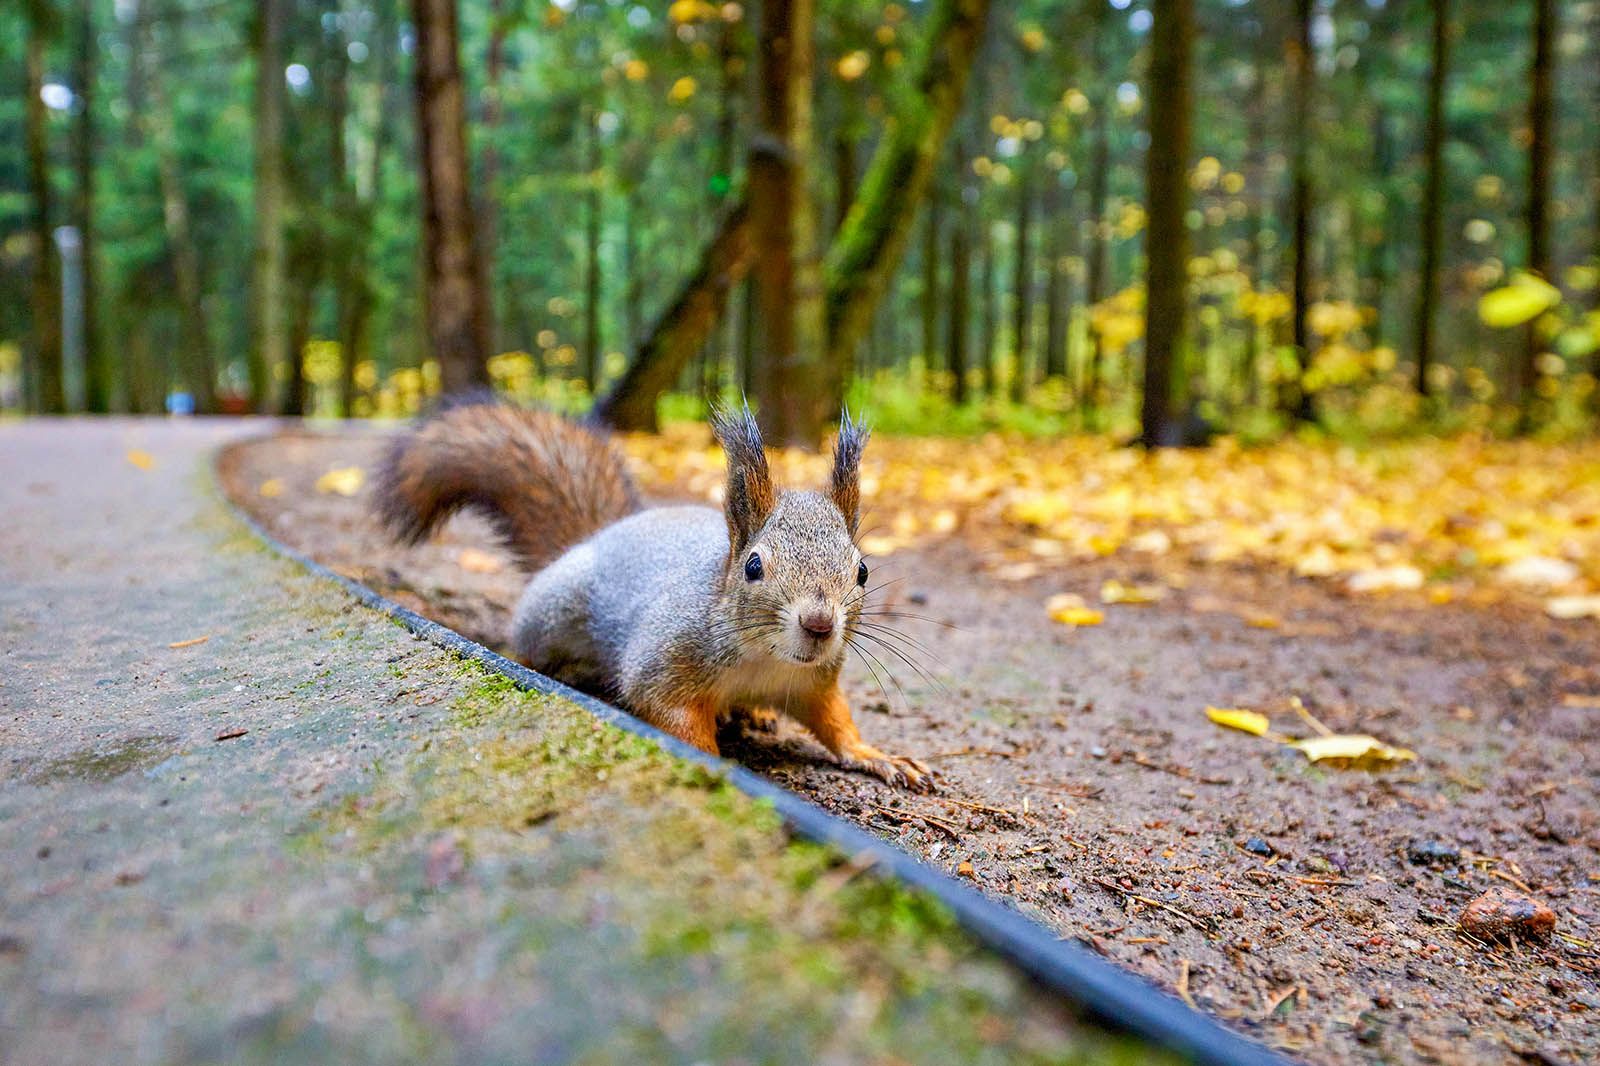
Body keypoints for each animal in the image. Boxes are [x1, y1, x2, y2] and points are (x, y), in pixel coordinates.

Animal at [372, 398, 928, 787]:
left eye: (862, 571)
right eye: (753, 566)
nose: (819, 625)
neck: (765, 660)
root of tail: (596, 536)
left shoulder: (815, 684)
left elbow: (836, 724)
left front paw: (876, 756)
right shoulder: (664, 662)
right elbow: (670, 713)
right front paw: (715, 760)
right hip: (552, 614)